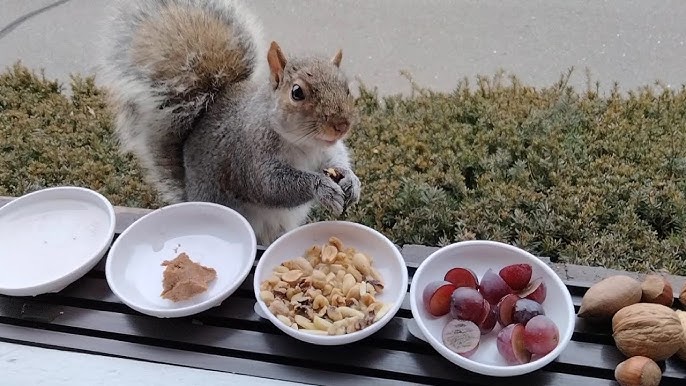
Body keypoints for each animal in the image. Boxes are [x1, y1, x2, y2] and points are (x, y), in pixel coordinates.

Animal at [101, 0, 366, 246]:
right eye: (297, 93)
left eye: (346, 88)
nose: (341, 125)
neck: (306, 144)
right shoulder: (250, 156)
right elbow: (271, 186)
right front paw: (322, 187)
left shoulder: (328, 150)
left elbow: (338, 158)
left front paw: (351, 180)